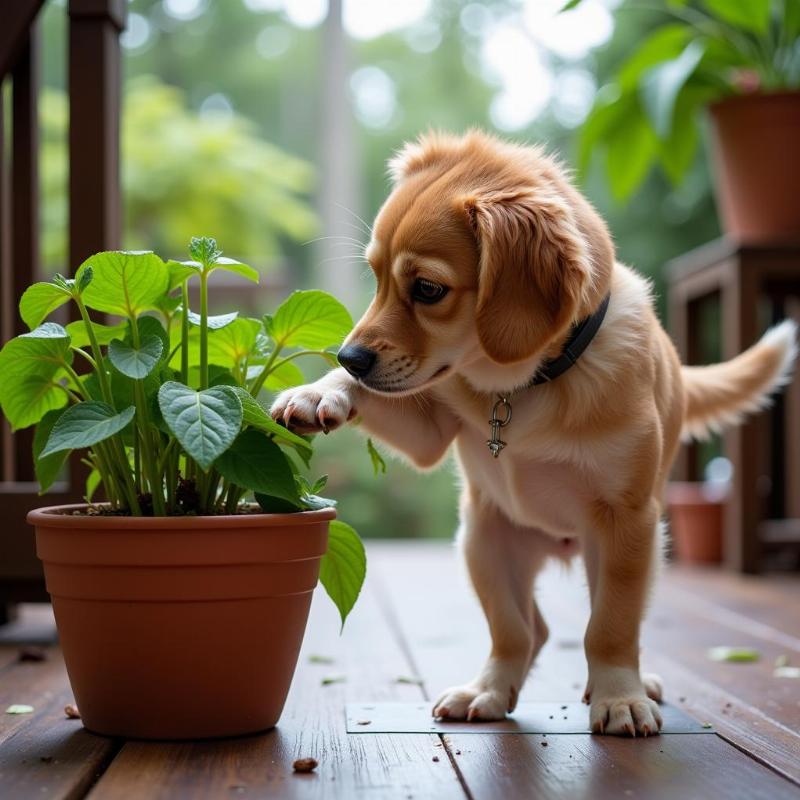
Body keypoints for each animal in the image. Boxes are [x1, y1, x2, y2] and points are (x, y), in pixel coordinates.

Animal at [272, 131, 796, 736]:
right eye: (376, 278)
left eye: (427, 289)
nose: (349, 357)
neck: (523, 386)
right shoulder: (430, 432)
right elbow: (514, 627)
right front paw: (318, 393)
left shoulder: (628, 523)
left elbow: (611, 627)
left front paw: (620, 697)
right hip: (484, 540)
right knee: (522, 630)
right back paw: (489, 689)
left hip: (609, 551)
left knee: (595, 622)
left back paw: (631, 683)